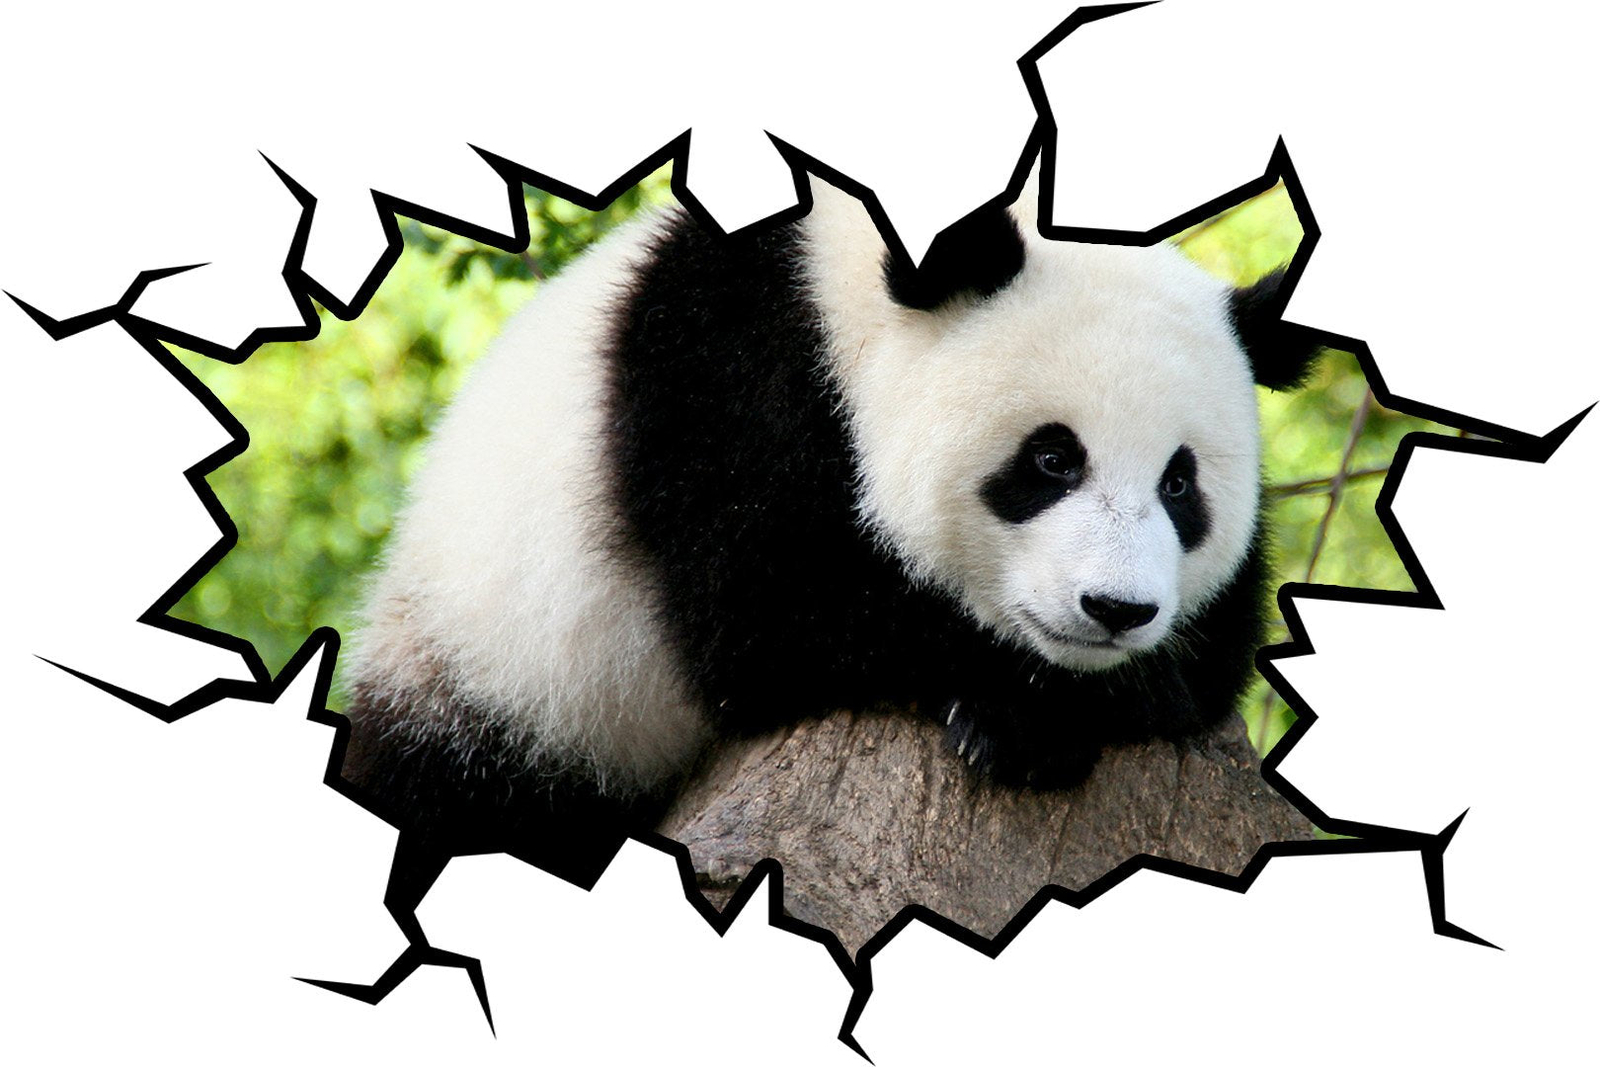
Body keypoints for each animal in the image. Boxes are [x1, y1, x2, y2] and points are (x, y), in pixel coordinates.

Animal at [340, 174, 1320, 891]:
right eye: (1051, 459)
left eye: (1180, 483)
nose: (1115, 609)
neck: (847, 298)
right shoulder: (716, 389)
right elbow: (769, 612)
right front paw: (1021, 714)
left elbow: (1220, 646)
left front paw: (1096, 697)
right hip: (500, 682)